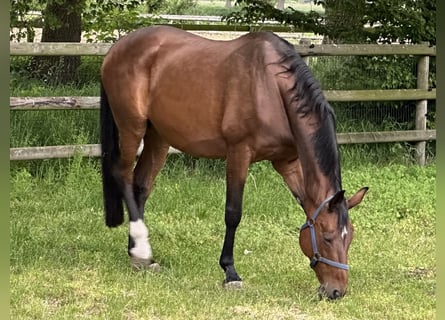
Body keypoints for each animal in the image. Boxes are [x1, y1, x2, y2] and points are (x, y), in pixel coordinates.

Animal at [100, 25, 368, 300]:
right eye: (327, 237)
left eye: (350, 238)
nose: (336, 291)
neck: (272, 88)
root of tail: (117, 48)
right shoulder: (239, 152)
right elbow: (233, 213)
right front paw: (230, 272)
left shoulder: (287, 163)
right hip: (132, 127)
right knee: (123, 175)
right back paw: (141, 250)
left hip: (158, 137)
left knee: (141, 186)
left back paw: (138, 255)